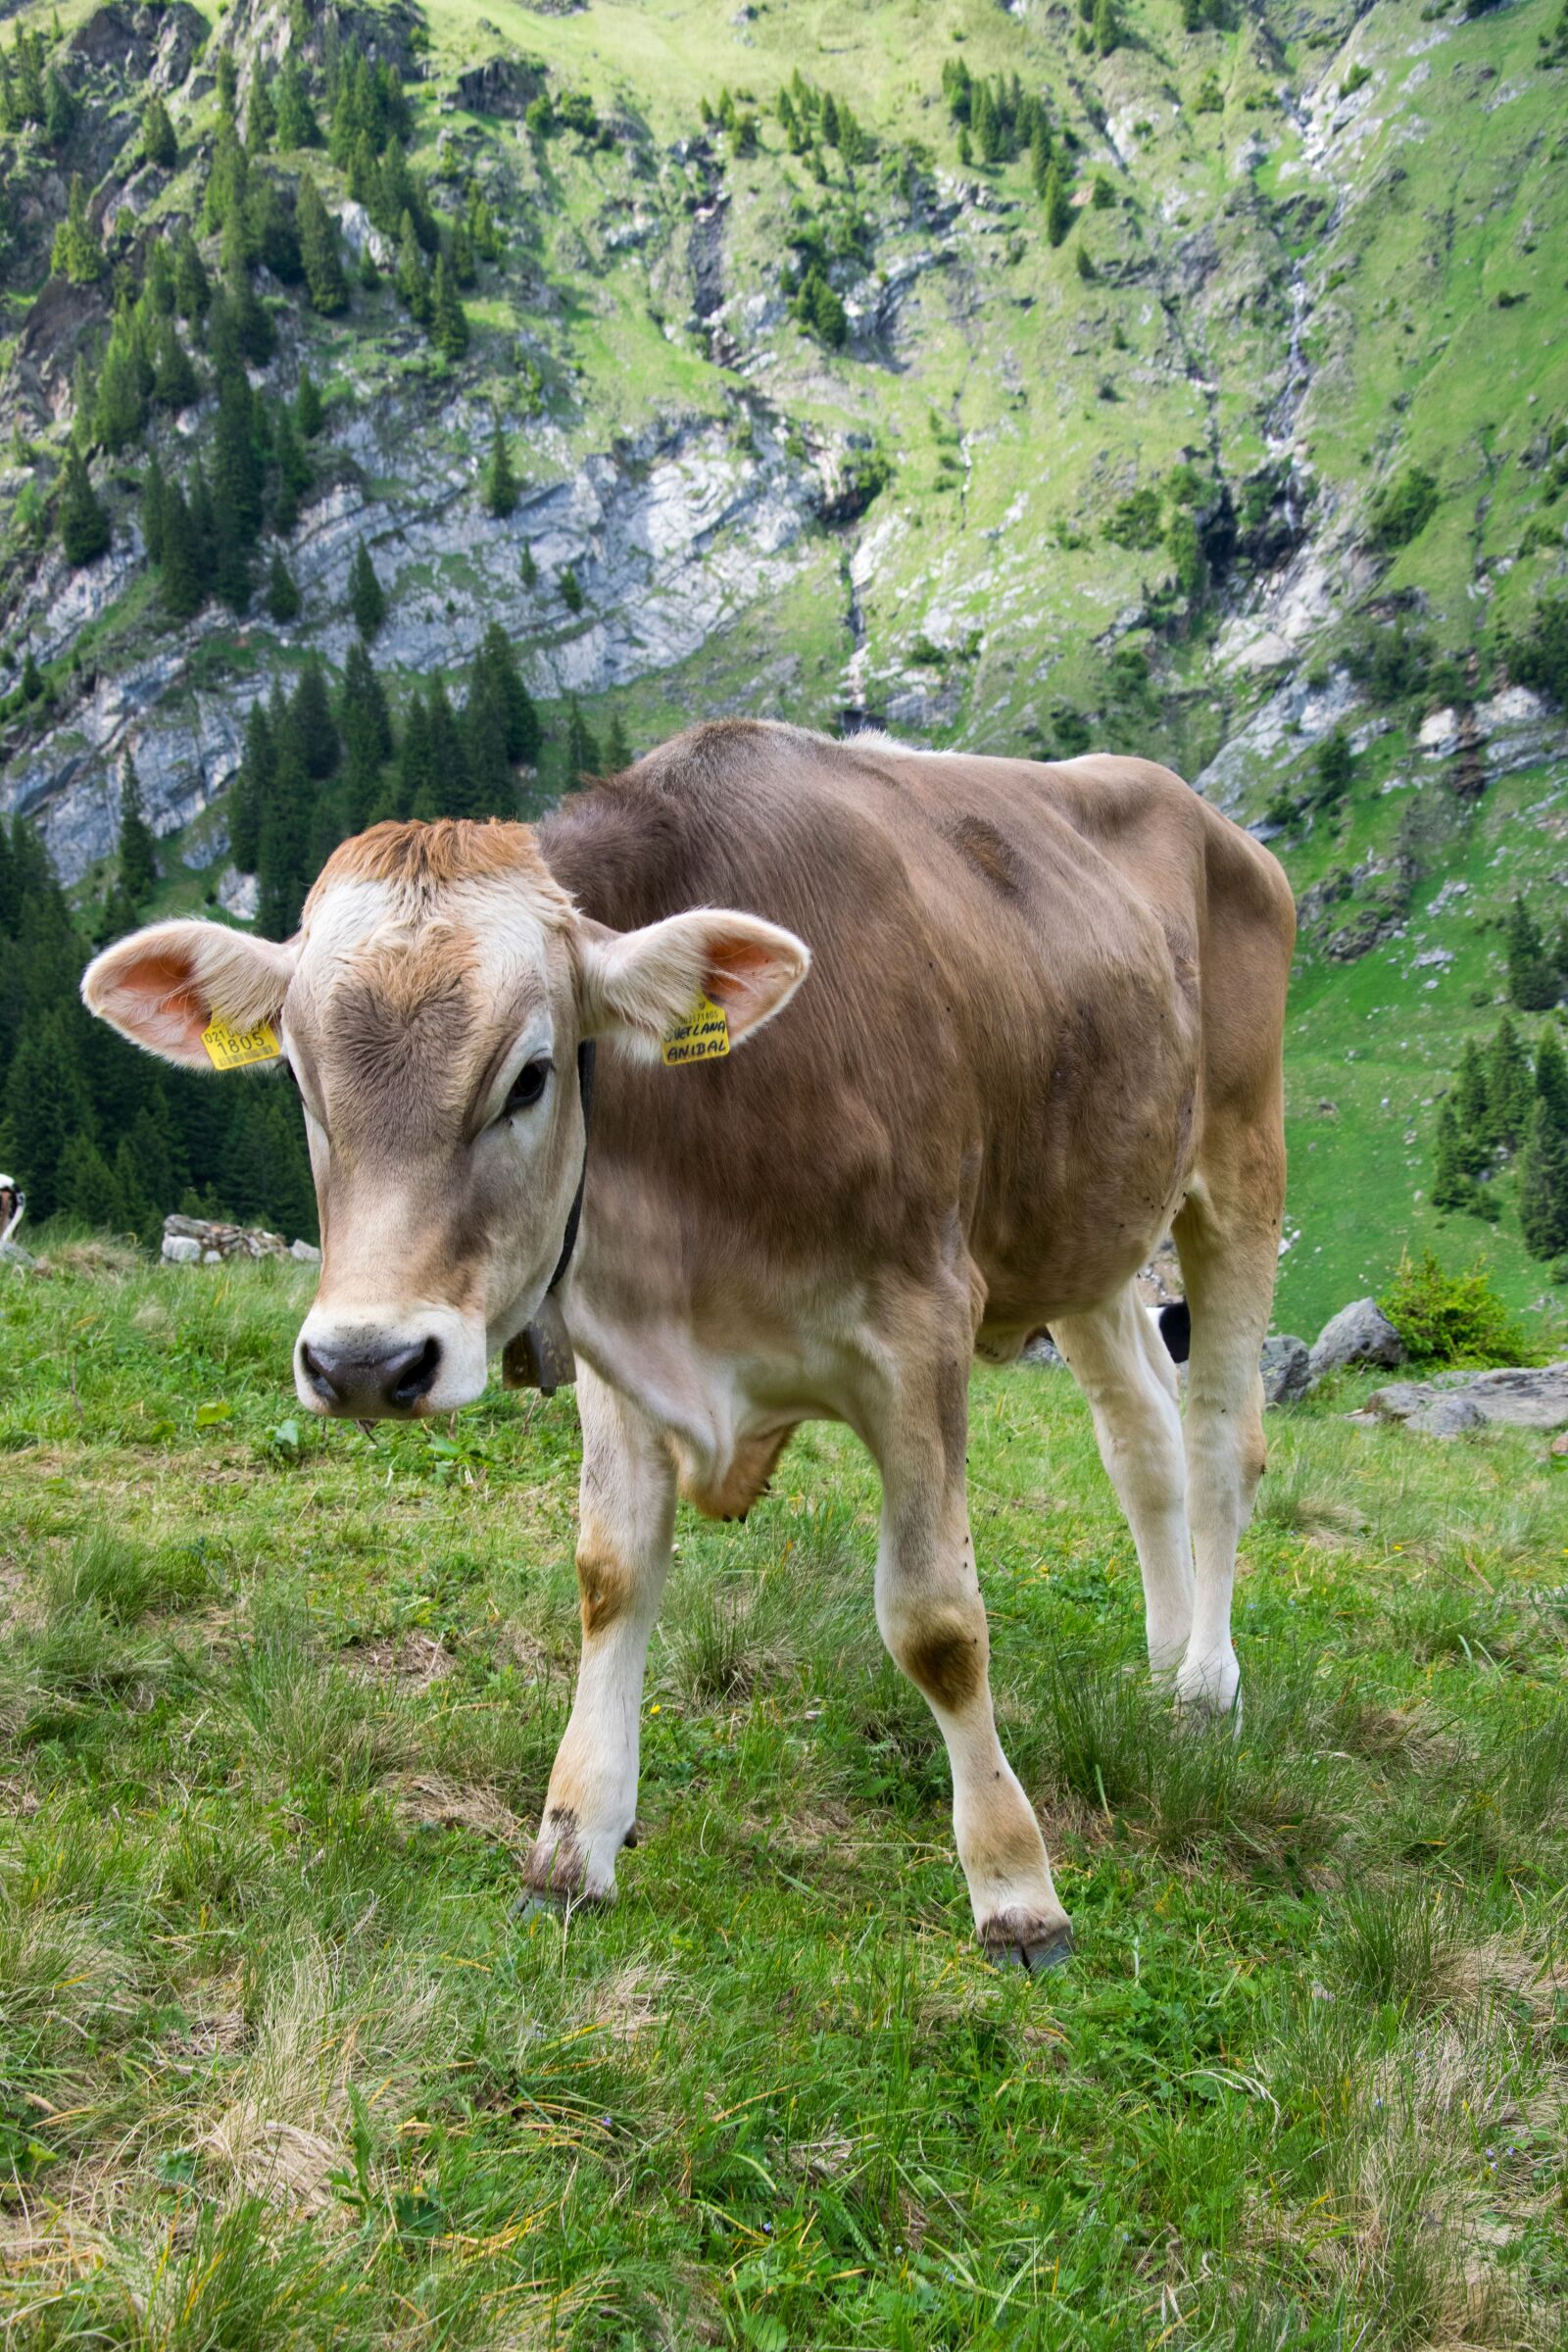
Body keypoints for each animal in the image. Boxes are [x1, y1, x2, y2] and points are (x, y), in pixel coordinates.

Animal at [83, 721, 1294, 1971]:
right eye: (298, 1076)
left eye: (531, 1076)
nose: (366, 1364)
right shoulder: (611, 1340)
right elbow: (611, 1578)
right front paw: (572, 1846)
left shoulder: (920, 1327)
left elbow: (938, 1624)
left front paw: (1016, 1888)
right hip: (1087, 1236)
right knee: (1141, 1442)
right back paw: (1162, 1661)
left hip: (1241, 1164)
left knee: (1220, 1443)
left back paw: (1205, 1686)